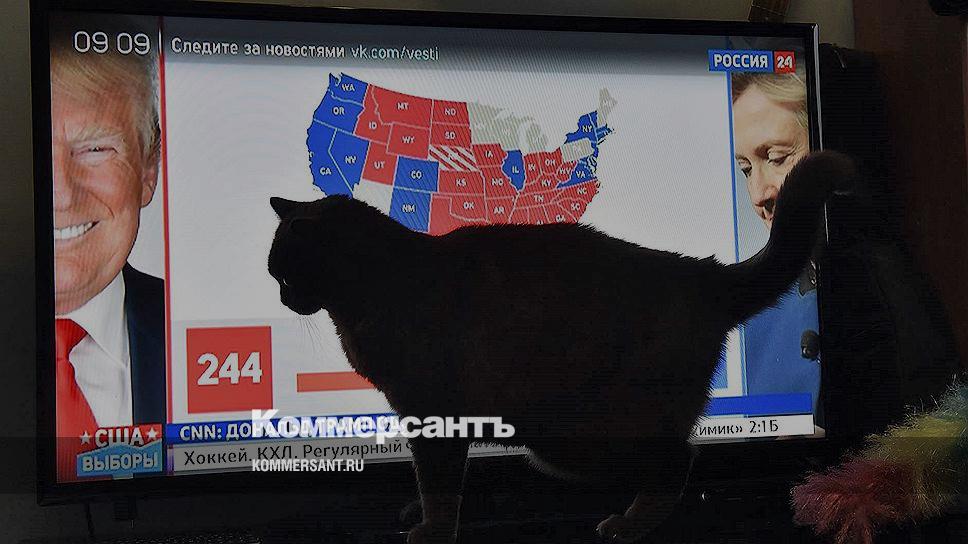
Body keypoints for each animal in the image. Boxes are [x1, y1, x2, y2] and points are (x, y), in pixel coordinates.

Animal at [268, 151, 853, 544]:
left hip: (583, 432)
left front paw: (434, 529)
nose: (282, 297)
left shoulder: (433, 409)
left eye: (283, 272)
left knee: (678, 459)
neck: (376, 286)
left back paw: (629, 524)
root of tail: (701, 275)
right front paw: (420, 513)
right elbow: (429, 474)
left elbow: (438, 478)